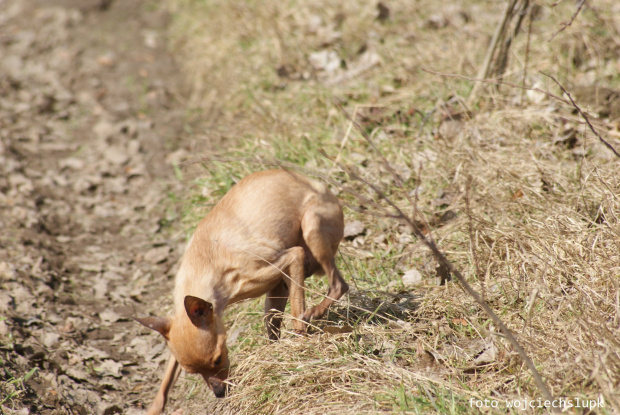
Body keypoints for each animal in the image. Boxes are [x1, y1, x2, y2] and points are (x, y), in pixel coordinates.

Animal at [135, 170, 346, 415]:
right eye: (193, 373)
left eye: (217, 360)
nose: (219, 393)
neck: (203, 266)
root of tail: (322, 188)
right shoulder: (174, 321)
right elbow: (166, 380)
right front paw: (154, 407)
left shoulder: (292, 256)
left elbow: (297, 318)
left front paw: (299, 347)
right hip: (278, 290)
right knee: (275, 327)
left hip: (311, 230)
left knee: (338, 285)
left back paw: (315, 313)